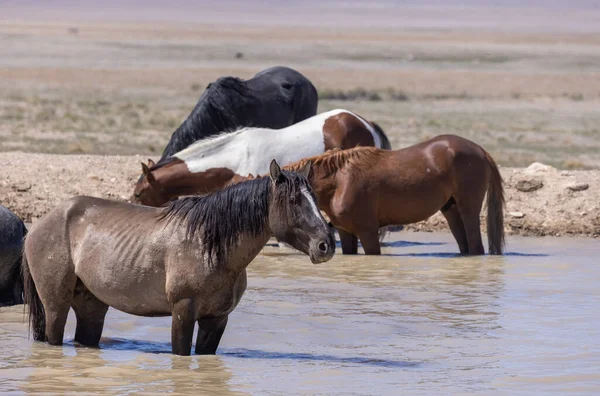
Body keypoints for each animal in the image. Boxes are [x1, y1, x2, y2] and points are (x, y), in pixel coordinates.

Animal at [21, 160, 336, 356]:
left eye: (316, 198)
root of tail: (38, 225)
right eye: (294, 201)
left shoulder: (216, 320)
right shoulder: (183, 312)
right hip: (55, 306)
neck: (211, 247)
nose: (326, 246)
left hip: (91, 306)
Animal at [284, 135, 504, 255]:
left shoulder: (367, 232)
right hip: (451, 209)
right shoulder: (346, 233)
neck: (339, 181)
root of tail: (481, 150)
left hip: (468, 209)